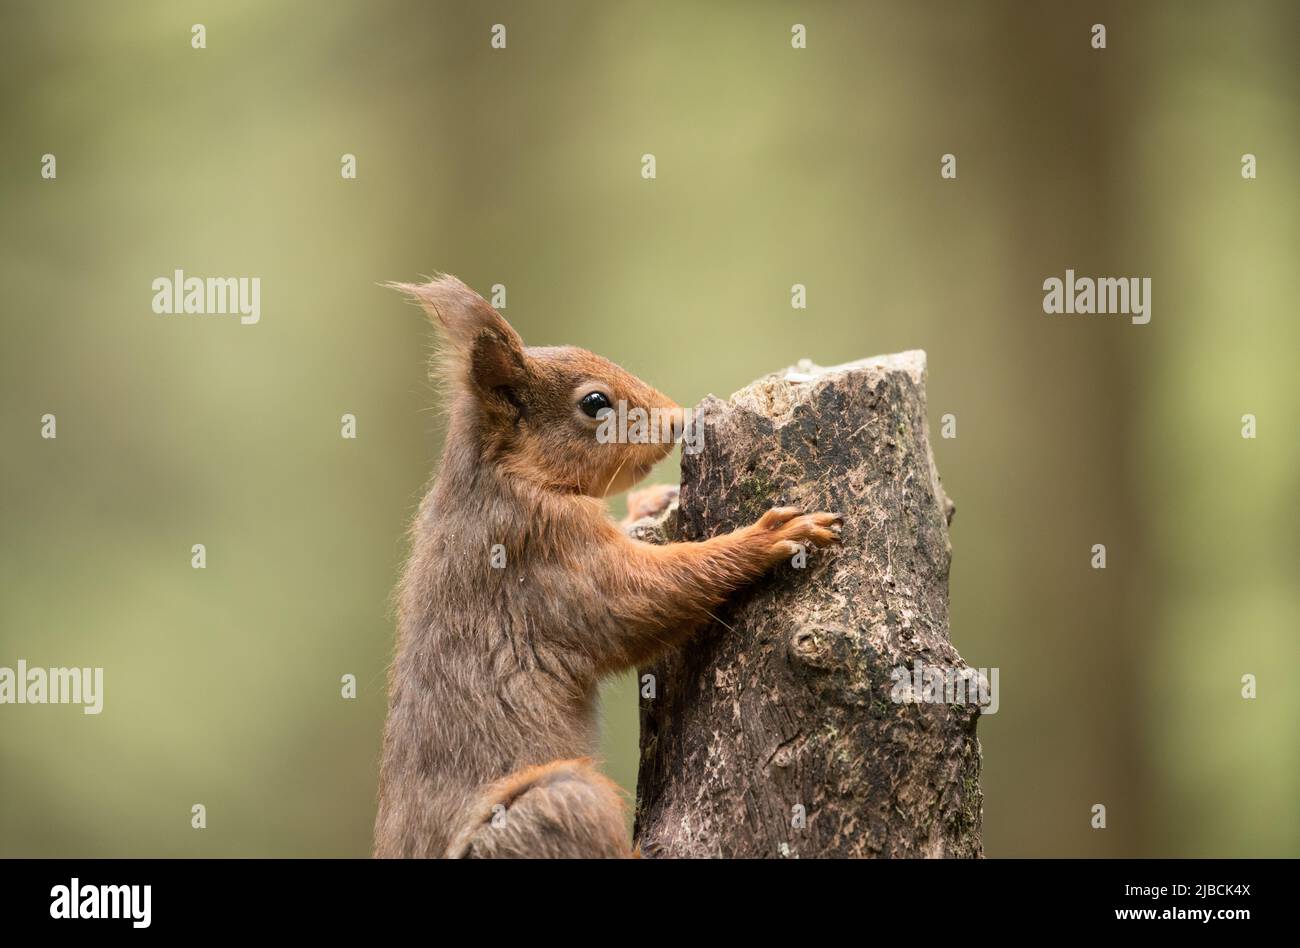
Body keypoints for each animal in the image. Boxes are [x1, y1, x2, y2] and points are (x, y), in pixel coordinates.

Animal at [373, 275, 841, 858]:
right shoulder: (539, 550)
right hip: (557, 805)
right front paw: (767, 536)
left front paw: (649, 504)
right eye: (595, 403)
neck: (505, 475)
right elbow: (640, 598)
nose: (679, 420)